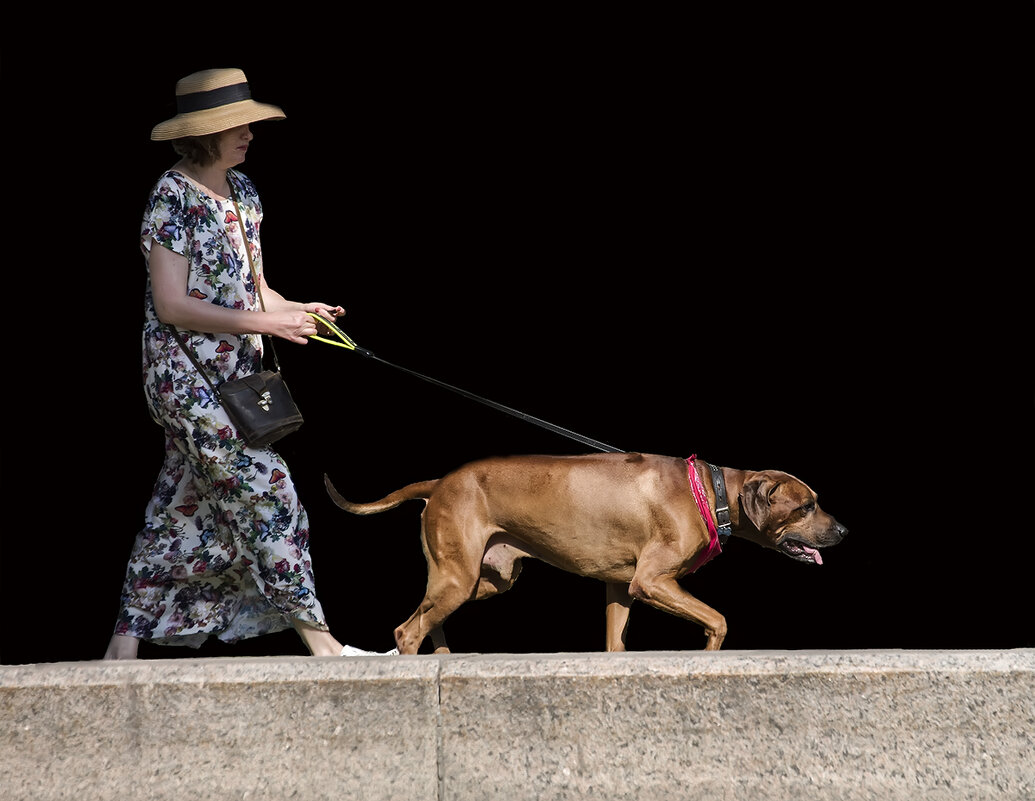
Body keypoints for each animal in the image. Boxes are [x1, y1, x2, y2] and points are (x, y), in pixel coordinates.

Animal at [324, 455, 848, 654]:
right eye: (806, 506)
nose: (844, 530)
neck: (712, 491)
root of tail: (438, 482)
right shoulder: (652, 581)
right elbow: (717, 620)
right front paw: (709, 654)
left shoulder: (621, 586)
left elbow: (616, 642)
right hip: (457, 578)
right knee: (406, 630)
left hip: (480, 580)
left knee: (426, 619)